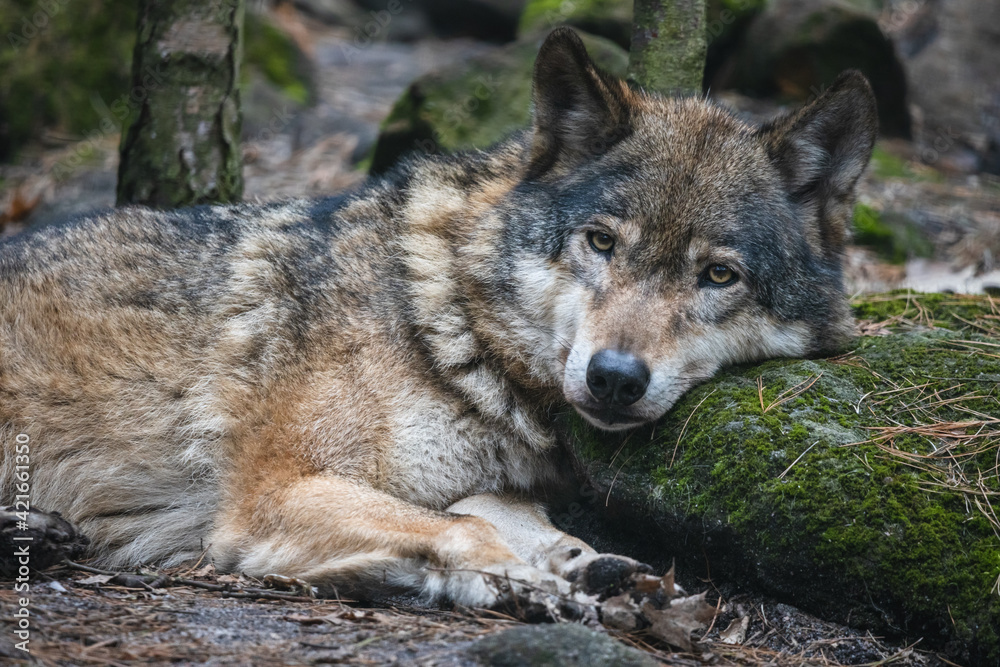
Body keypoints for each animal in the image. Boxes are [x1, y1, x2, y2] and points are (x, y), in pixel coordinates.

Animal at [0, 28, 876, 607]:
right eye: (601, 242)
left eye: (717, 274)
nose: (615, 379)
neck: (447, 321)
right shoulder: (274, 491)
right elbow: (469, 532)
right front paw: (519, 579)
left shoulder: (470, 481)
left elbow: (519, 521)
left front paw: (583, 564)